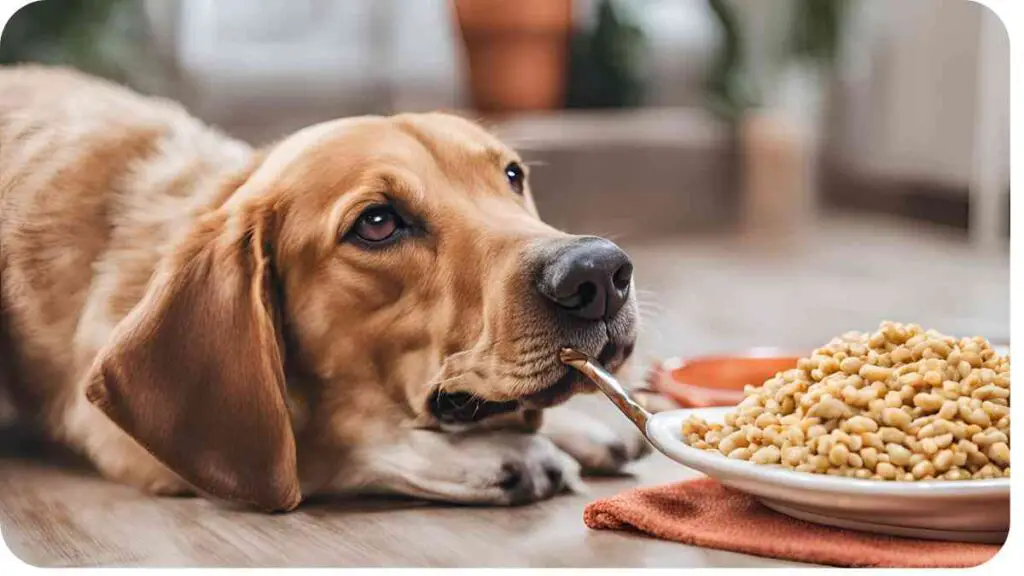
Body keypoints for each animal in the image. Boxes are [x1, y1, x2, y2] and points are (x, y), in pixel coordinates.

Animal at [0, 65, 643, 508]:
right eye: (377, 223)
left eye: (512, 175)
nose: (599, 274)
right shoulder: (123, 441)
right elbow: (325, 443)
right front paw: (506, 454)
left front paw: (576, 427)